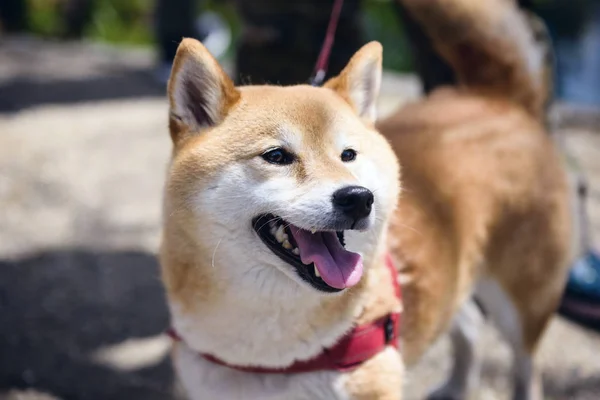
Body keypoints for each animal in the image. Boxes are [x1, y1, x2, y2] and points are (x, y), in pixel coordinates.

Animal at [159, 0, 572, 398]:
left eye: (348, 155)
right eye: (276, 156)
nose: (358, 198)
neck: (270, 361)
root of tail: (496, 98)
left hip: (524, 301)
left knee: (526, 364)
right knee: (467, 321)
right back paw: (457, 386)